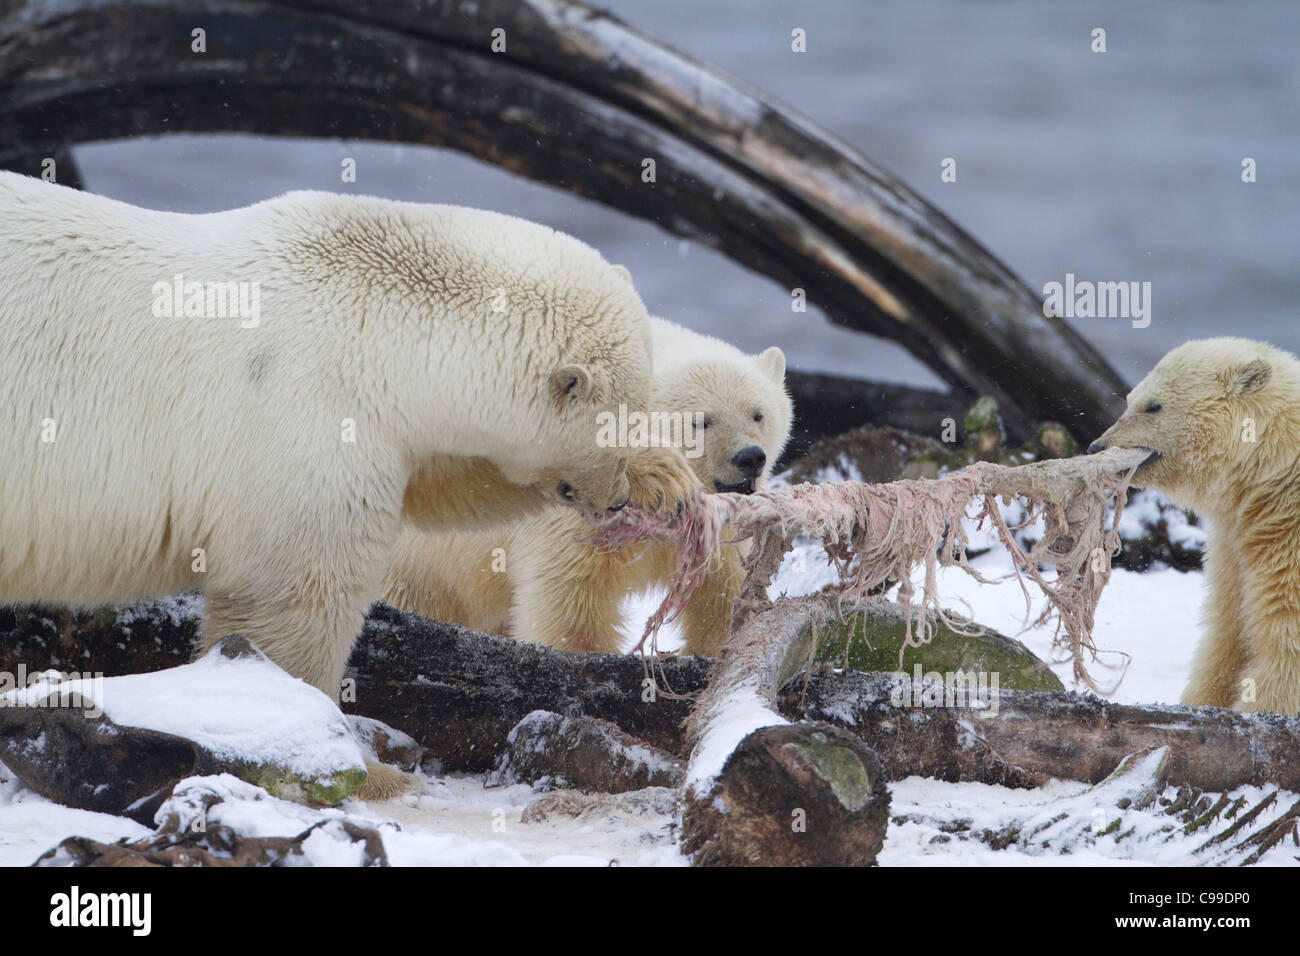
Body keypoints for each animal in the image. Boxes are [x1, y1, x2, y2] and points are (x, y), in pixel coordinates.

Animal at [0, 175, 702, 702]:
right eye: (611, 427)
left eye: (638, 413)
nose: (614, 498)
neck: (370, 319)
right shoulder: (300, 421)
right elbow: (293, 599)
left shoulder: (386, 426)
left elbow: (450, 480)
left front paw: (667, 481)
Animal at [379, 317, 790, 655]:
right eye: (701, 421)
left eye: (758, 414)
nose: (750, 457)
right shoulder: (571, 509)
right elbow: (571, 597)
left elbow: (721, 588)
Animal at [1086, 340, 1300, 712]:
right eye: (1129, 399)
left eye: (1153, 406)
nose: (1097, 445)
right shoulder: (1236, 543)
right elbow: (1227, 630)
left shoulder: (1289, 539)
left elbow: (1285, 644)